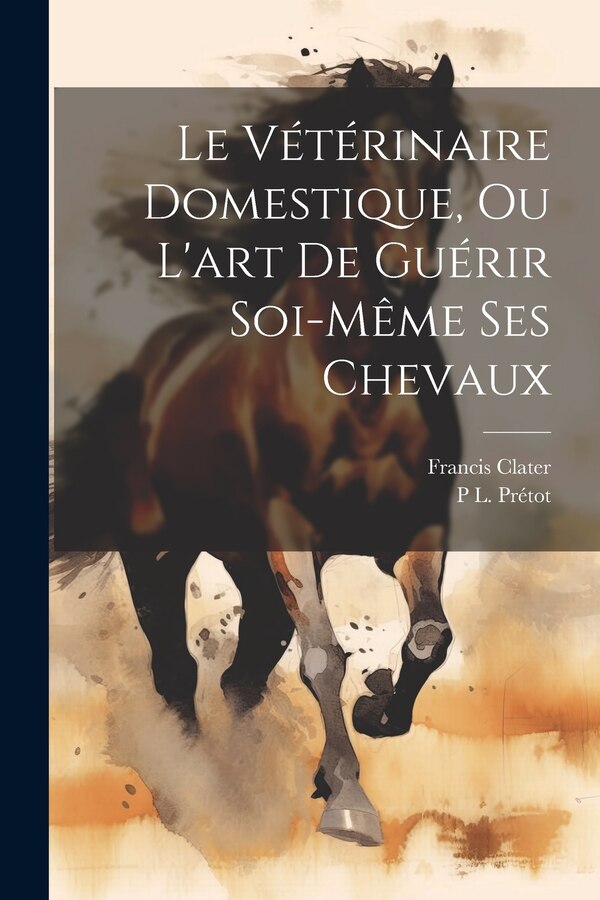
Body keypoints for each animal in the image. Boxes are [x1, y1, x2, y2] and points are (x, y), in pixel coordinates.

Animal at [54, 54, 464, 847]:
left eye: (445, 160)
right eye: (355, 158)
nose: (408, 283)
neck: (362, 380)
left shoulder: (418, 525)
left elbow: (430, 635)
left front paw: (377, 712)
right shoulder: (290, 528)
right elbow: (325, 656)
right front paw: (349, 803)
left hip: (247, 566)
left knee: (241, 678)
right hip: (157, 554)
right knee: (177, 671)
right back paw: (197, 786)